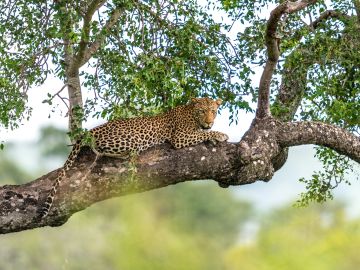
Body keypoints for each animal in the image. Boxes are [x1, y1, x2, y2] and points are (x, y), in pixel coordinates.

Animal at [38, 98, 228, 218]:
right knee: (103, 151)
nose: (209, 121)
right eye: (202, 111)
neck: (191, 114)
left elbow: (203, 133)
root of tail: (93, 130)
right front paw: (221, 135)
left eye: (213, 111)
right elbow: (201, 134)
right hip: (132, 139)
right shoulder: (180, 137)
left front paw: (214, 134)